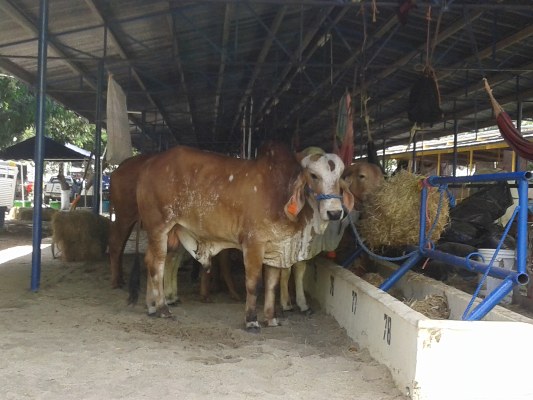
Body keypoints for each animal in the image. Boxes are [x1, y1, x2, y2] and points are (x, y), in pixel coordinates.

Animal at [133, 142, 352, 330]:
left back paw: (151, 306)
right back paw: (162, 308)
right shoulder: (254, 243)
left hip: (168, 232)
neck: (280, 190)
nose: (334, 212)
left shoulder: (277, 247)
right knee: (157, 265)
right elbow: (254, 283)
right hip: (159, 227)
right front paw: (252, 321)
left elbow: (271, 285)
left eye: (340, 175)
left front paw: (271, 318)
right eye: (313, 175)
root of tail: (149, 165)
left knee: (149, 260)